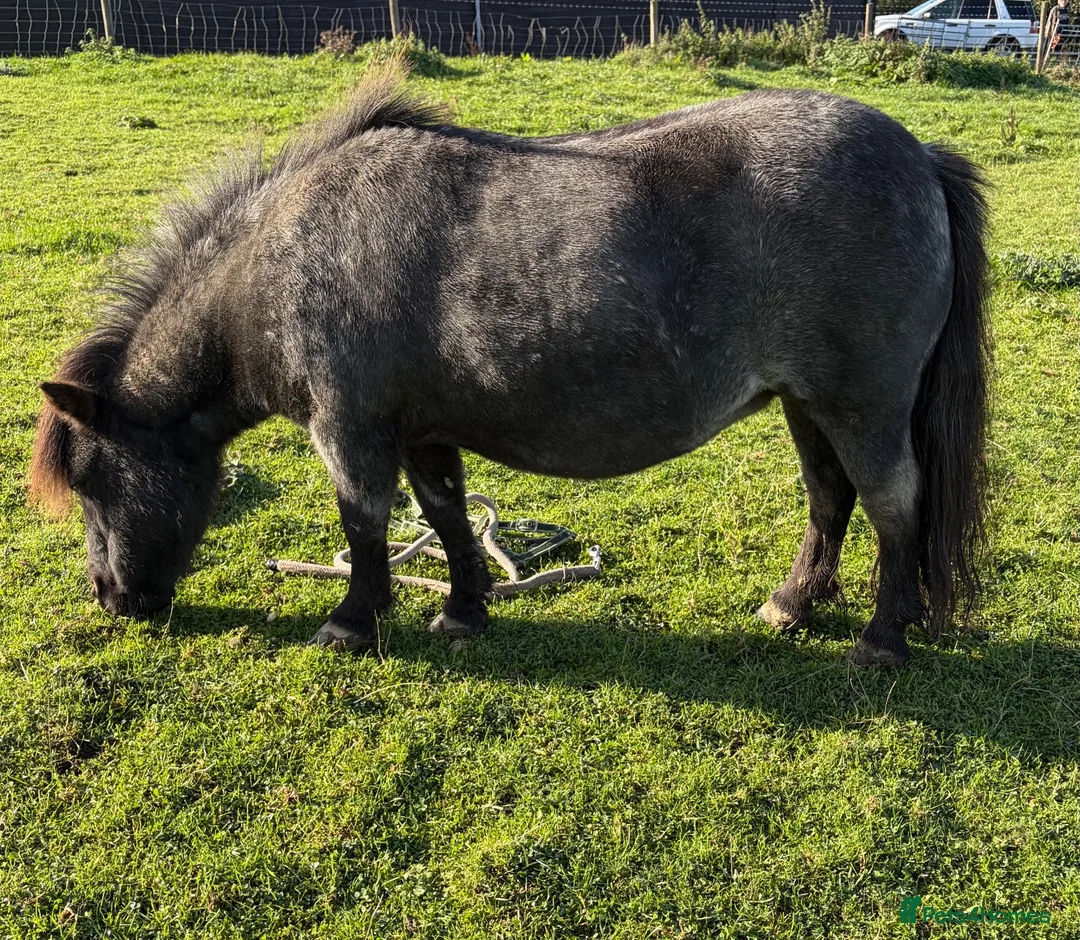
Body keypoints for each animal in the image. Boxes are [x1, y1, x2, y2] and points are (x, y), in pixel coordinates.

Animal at [30, 67, 991, 667]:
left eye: (91, 479)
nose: (110, 597)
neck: (283, 258)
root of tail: (919, 157)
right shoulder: (423, 432)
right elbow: (446, 518)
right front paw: (462, 610)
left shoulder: (349, 431)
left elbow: (363, 525)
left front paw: (351, 623)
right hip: (806, 403)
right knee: (831, 502)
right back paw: (794, 605)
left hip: (861, 407)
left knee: (893, 506)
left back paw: (882, 641)